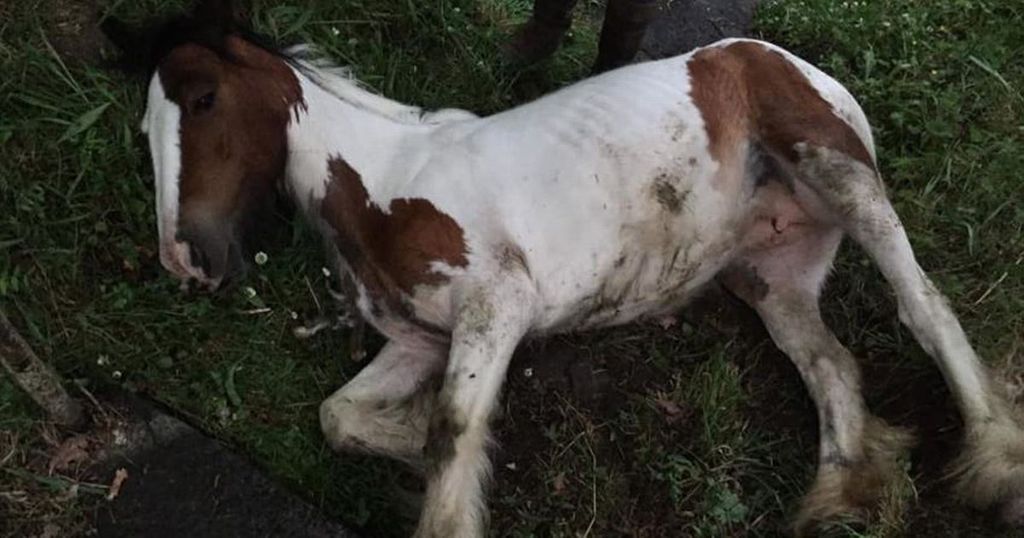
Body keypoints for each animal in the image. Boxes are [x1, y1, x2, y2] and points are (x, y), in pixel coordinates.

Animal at [102, 1, 1024, 535]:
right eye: (144, 128)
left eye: (204, 100)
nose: (185, 258)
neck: (386, 181)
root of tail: (786, 59)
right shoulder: (419, 342)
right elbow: (348, 419)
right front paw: (414, 451)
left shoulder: (497, 309)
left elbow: (453, 434)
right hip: (773, 273)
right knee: (831, 364)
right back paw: (843, 497)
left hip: (843, 178)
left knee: (923, 305)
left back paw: (997, 469)